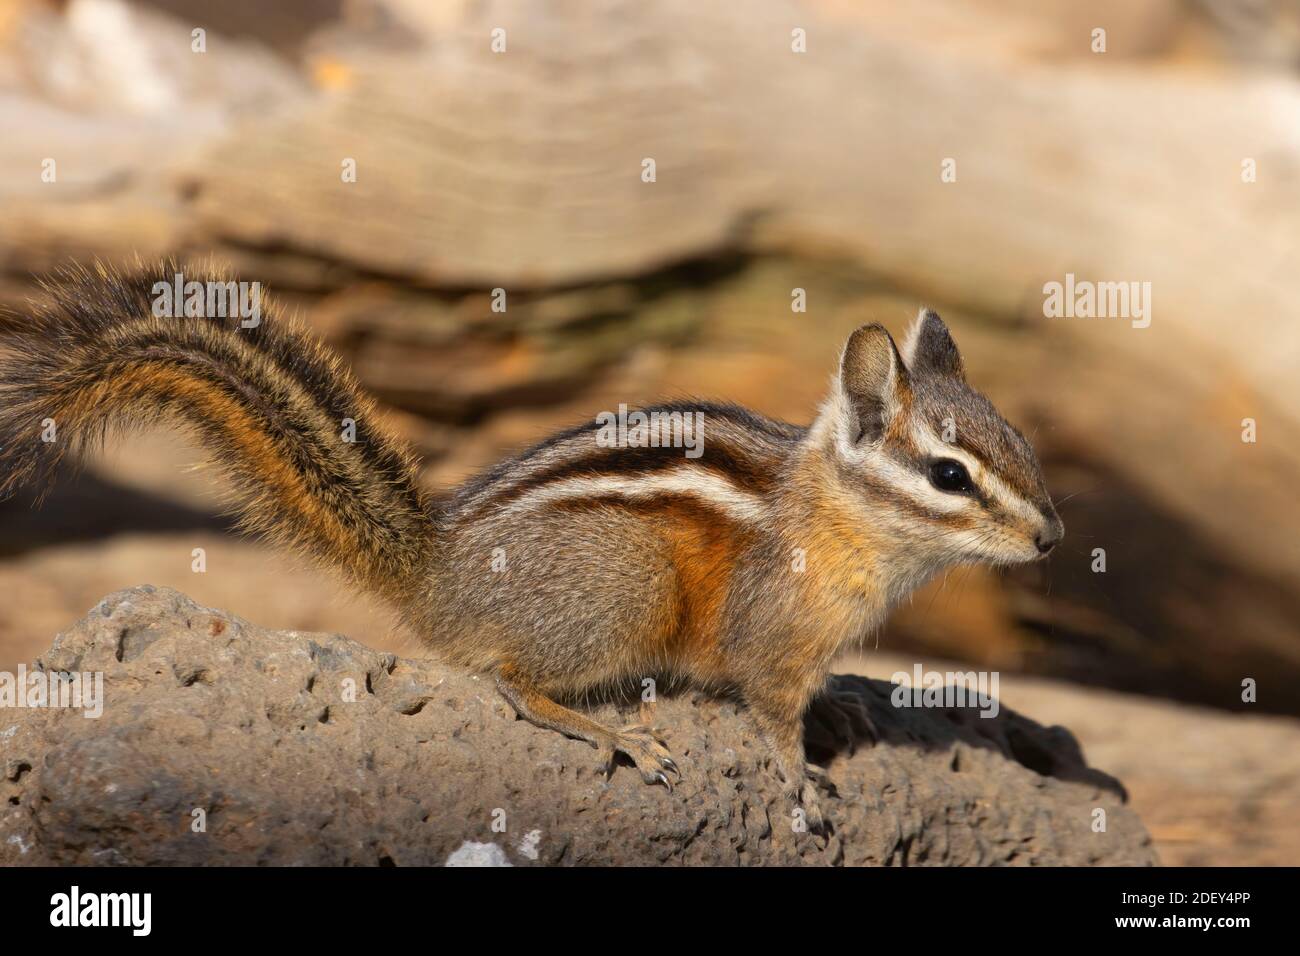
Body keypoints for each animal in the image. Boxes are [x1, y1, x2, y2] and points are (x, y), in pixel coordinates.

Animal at [0, 261, 1062, 830]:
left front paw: (840, 704)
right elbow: (767, 711)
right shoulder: (768, 636)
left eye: (1020, 441)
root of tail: (437, 571)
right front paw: (800, 775)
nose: (1053, 536)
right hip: (627, 585)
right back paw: (612, 731)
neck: (831, 517)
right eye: (951, 476)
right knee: (512, 682)